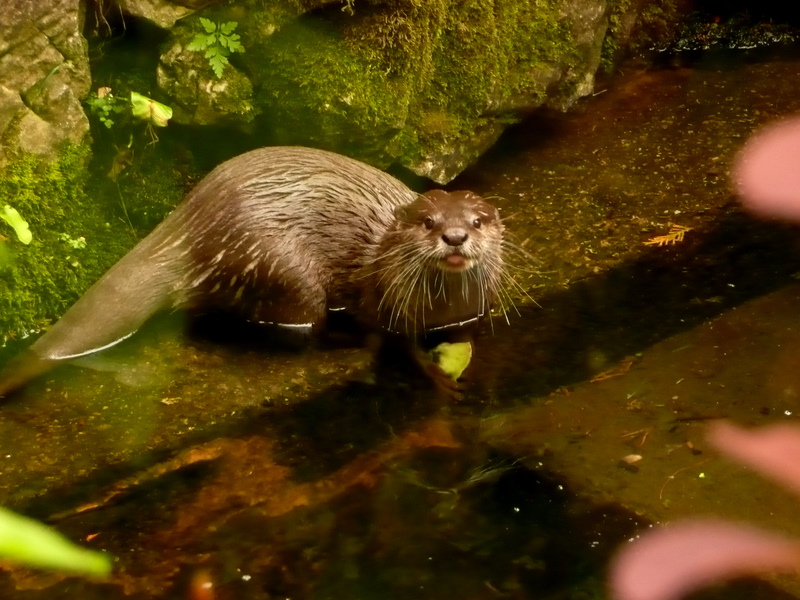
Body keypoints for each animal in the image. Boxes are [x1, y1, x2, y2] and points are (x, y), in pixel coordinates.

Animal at [0, 146, 505, 396]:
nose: (455, 236)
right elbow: (400, 345)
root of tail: (189, 229)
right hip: (283, 269)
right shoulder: (390, 310)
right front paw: (438, 380)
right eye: (428, 221)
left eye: (477, 221)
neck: (443, 309)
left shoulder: (476, 314)